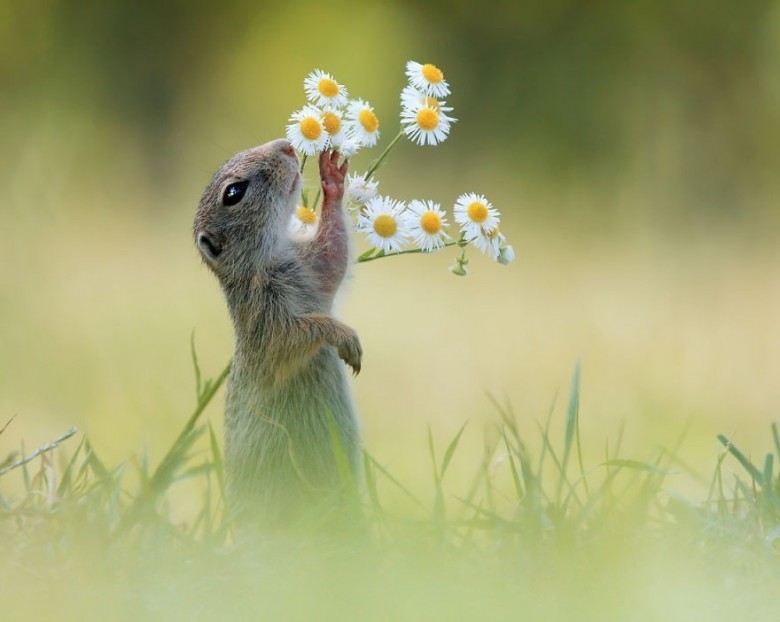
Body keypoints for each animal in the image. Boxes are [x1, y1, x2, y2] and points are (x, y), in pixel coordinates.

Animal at [195, 141, 366, 532]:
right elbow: (296, 337)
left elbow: (335, 252)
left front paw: (332, 177)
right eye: (233, 192)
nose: (286, 146)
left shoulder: (314, 266)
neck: (270, 259)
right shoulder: (266, 322)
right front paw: (343, 337)